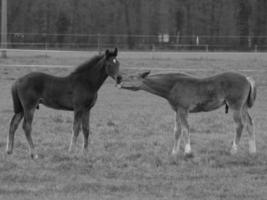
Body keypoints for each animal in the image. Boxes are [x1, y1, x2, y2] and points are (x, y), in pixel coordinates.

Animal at [120, 71, 258, 157]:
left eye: (132, 77)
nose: (119, 81)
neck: (173, 86)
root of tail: (246, 78)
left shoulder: (183, 109)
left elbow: (186, 129)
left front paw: (187, 152)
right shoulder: (177, 110)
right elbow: (177, 131)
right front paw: (174, 153)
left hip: (235, 106)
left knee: (239, 125)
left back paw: (233, 151)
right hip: (243, 107)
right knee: (249, 123)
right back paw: (252, 151)